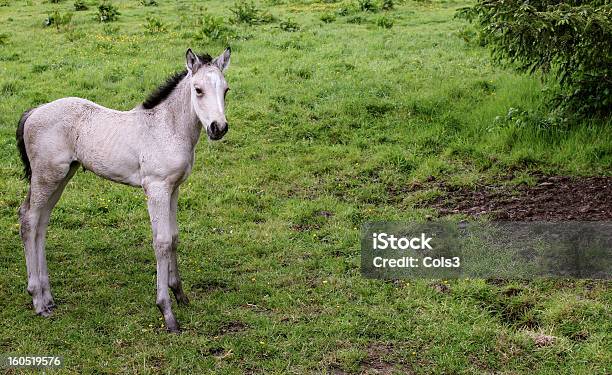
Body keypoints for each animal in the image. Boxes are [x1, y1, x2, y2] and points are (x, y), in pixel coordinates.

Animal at [17, 48, 232, 334]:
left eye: (226, 90)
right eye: (198, 90)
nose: (218, 128)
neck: (166, 128)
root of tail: (34, 111)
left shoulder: (173, 188)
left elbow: (174, 237)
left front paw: (180, 294)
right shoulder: (156, 187)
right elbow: (162, 242)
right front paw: (167, 312)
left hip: (61, 176)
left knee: (41, 223)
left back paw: (48, 297)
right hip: (46, 176)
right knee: (29, 220)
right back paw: (38, 301)